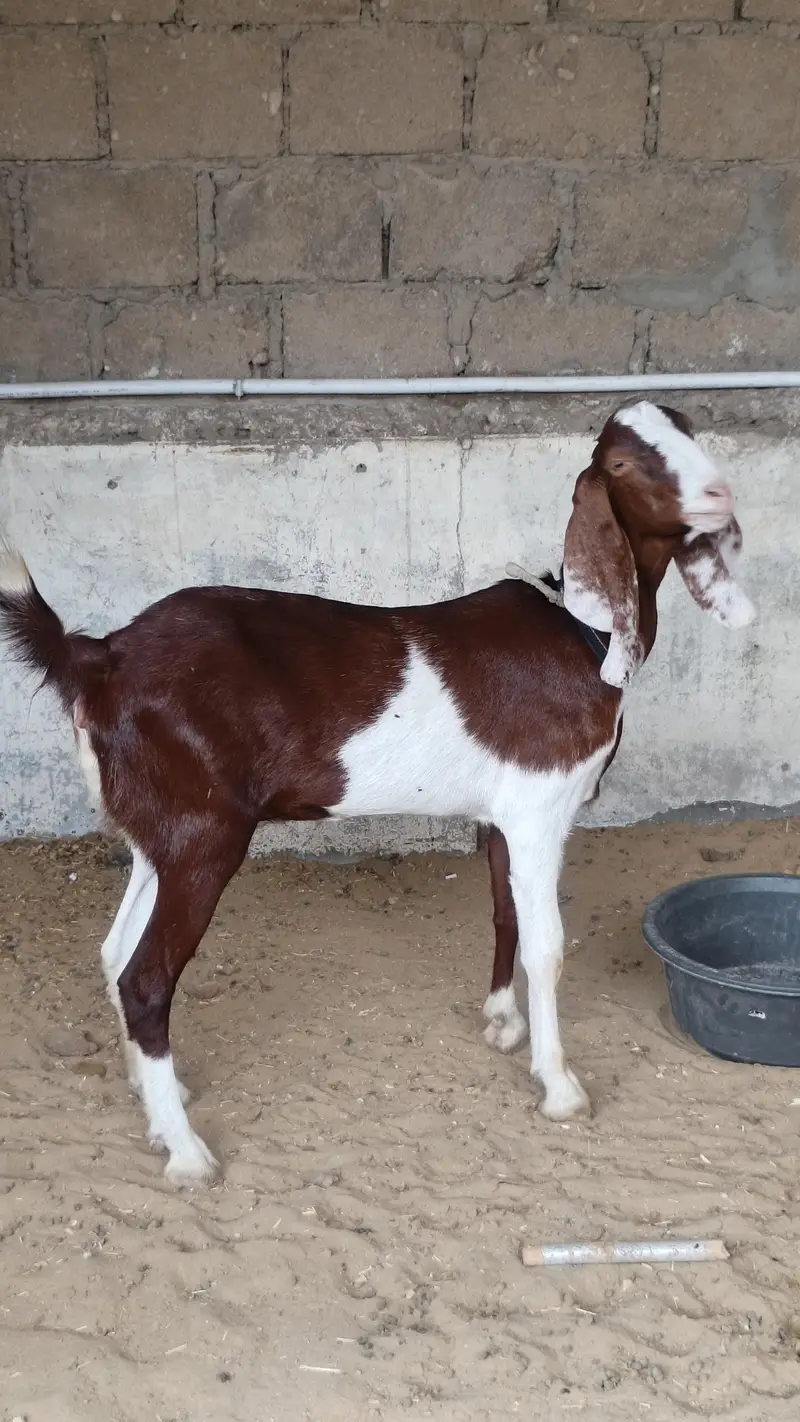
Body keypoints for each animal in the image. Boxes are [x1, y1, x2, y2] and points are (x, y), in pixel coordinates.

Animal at [0, 401, 754, 1187]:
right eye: (623, 463)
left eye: (689, 431)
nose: (718, 494)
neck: (584, 633)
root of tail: (99, 656)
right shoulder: (540, 808)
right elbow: (547, 944)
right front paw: (560, 1086)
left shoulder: (500, 813)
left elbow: (504, 914)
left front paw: (502, 1023)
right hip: (204, 830)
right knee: (145, 978)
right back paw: (185, 1150)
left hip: (161, 827)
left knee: (115, 953)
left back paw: (156, 1098)